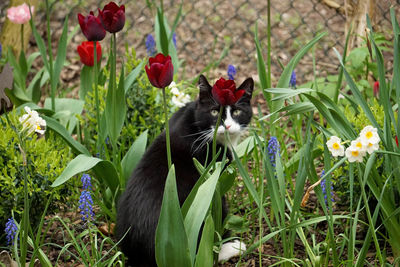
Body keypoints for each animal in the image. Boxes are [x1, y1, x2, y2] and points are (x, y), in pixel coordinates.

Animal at [115, 74, 253, 266]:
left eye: (237, 112)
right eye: (214, 112)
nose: (227, 126)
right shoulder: (215, 179)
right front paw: (230, 244)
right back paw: (231, 248)